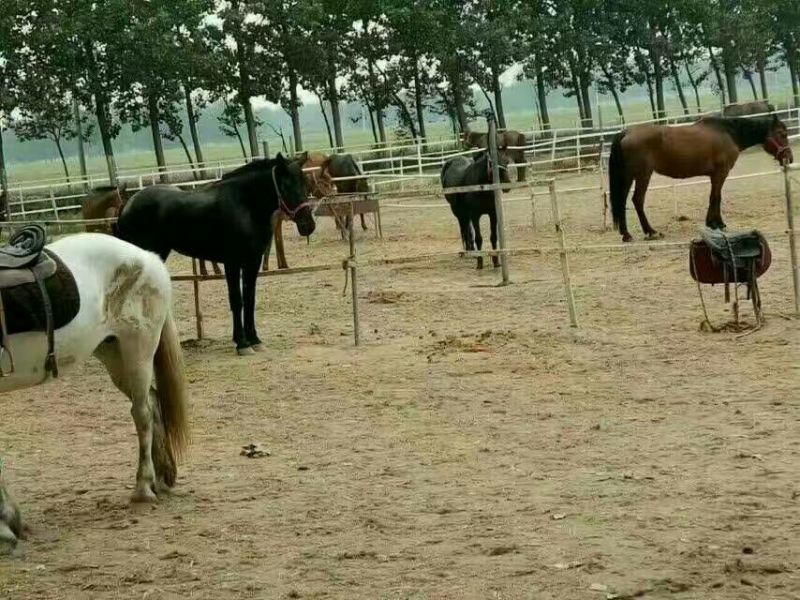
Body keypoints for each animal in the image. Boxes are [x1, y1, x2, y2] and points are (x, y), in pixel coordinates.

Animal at [0, 233, 189, 552]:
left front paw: (4, 528)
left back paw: (143, 488)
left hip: (137, 352)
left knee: (142, 413)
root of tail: (147, 257)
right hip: (112, 353)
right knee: (153, 402)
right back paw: (161, 478)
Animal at [116, 154, 315, 355]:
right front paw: (242, 344)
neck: (245, 204)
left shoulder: (252, 262)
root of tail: (127, 205)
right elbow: (237, 300)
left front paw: (254, 340)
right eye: (286, 186)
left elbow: (249, 299)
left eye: (306, 184)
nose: (308, 225)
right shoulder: (232, 263)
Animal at [608, 115, 793, 243]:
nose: (789, 158)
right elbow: (715, 197)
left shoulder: (715, 176)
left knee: (622, 201)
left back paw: (626, 234)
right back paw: (651, 232)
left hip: (628, 176)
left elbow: (716, 197)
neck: (728, 133)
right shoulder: (720, 173)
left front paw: (715, 223)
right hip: (642, 175)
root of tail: (626, 132)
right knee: (637, 200)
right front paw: (716, 224)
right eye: (782, 133)